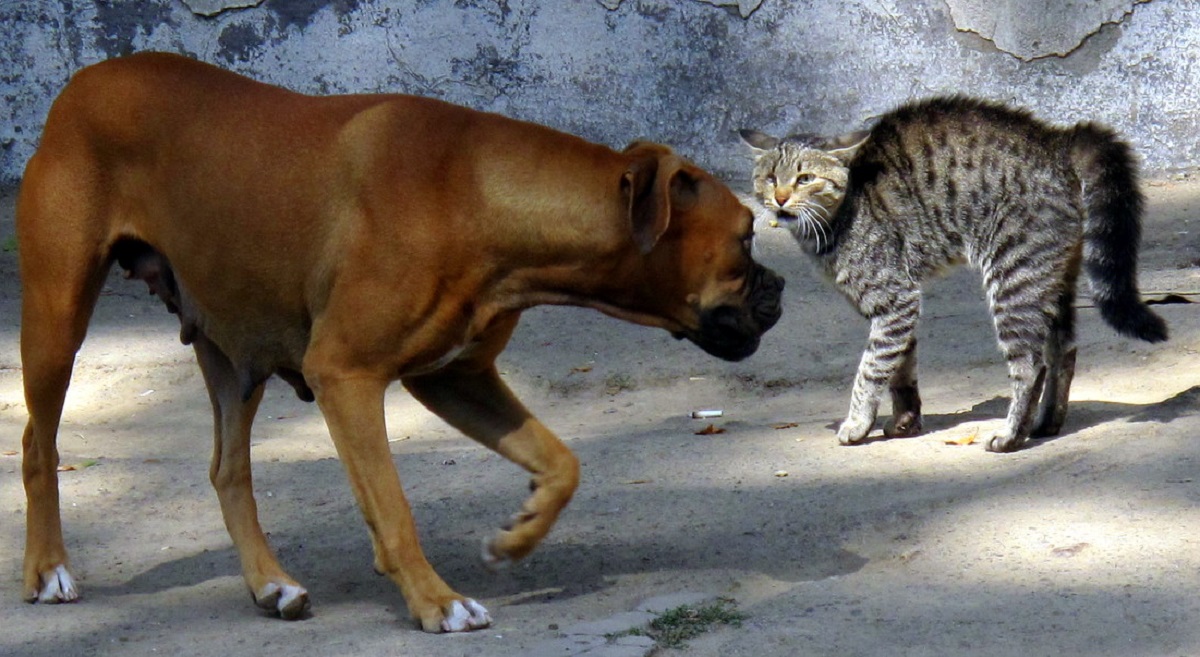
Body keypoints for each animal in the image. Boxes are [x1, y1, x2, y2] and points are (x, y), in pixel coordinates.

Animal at [18, 55, 787, 633]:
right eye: (746, 237)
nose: (779, 288)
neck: (481, 196)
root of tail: (84, 79)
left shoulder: (458, 378)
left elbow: (560, 461)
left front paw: (520, 532)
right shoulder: (346, 375)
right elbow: (393, 505)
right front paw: (436, 601)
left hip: (233, 354)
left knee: (228, 469)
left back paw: (271, 585)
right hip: (57, 318)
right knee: (37, 443)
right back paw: (47, 569)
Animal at [734, 96, 1166, 450]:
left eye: (805, 179)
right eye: (770, 178)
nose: (780, 198)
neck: (839, 216)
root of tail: (1056, 139)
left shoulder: (894, 298)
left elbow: (871, 369)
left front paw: (858, 423)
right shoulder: (898, 309)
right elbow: (900, 369)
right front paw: (905, 422)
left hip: (1014, 279)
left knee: (1031, 365)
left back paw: (1011, 435)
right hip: (1052, 281)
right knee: (1064, 350)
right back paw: (1046, 423)